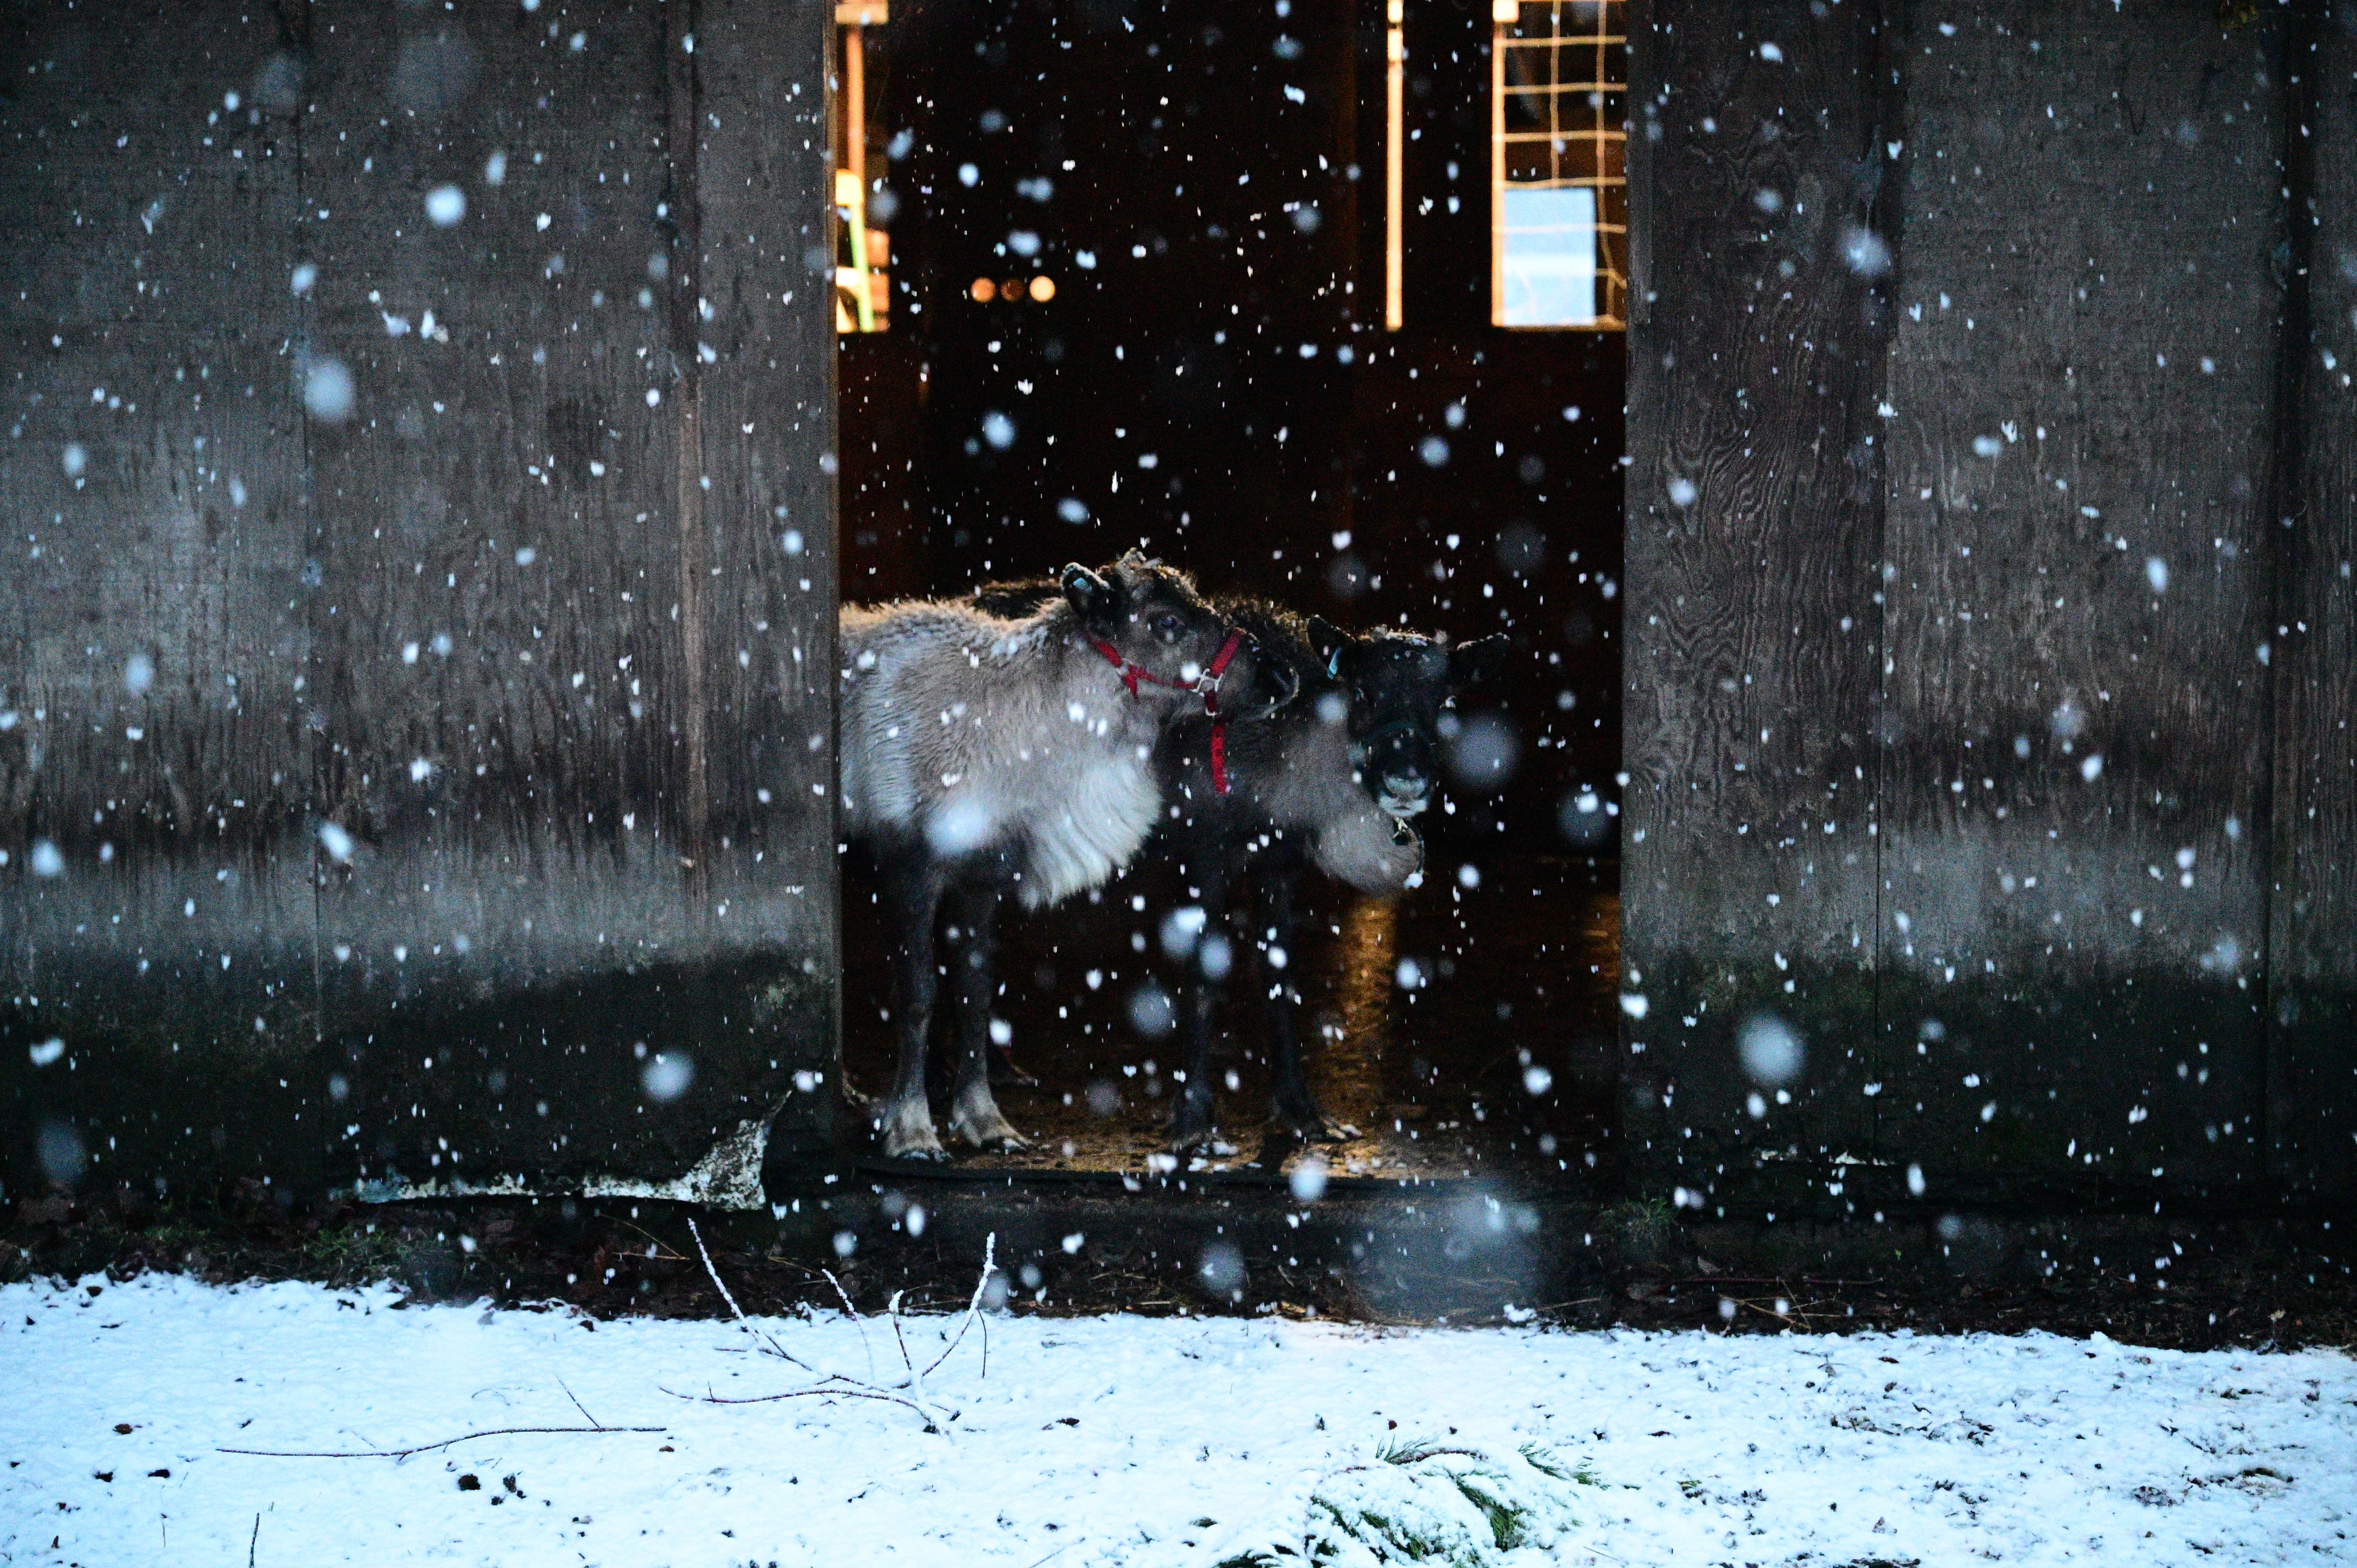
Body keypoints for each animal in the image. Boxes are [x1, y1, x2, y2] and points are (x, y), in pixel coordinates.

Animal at [838, 553, 1296, 1159]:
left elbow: (974, 992)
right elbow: (918, 995)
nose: (1283, 676)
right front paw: (912, 1130)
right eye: (1167, 621)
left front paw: (986, 1121)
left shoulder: (982, 874)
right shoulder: (908, 866)